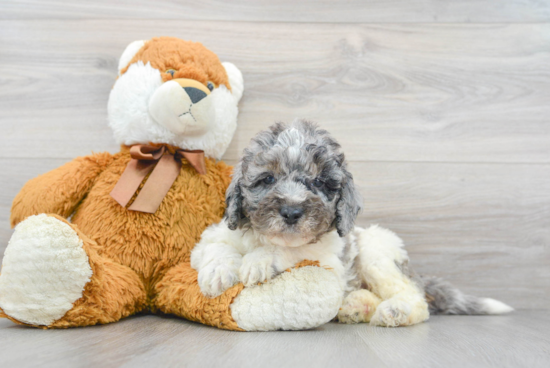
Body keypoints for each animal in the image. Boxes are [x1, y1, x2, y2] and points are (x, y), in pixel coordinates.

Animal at [192, 119, 516, 326]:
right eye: (267, 179)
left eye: (318, 182)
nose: (292, 212)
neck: (266, 238)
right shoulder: (213, 236)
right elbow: (216, 247)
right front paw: (218, 274)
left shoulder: (326, 258)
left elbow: (293, 251)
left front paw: (259, 260)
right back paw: (355, 307)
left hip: (377, 254)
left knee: (416, 299)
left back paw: (394, 311)